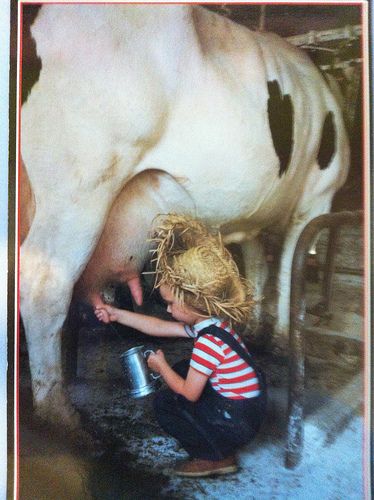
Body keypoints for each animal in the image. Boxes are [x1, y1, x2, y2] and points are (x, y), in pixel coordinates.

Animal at [19, 2, 348, 430]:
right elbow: (290, 267)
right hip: (79, 187)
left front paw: (251, 325)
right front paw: (278, 337)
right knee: (43, 285)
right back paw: (59, 412)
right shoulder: (318, 197)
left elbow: (257, 266)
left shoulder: (255, 218)